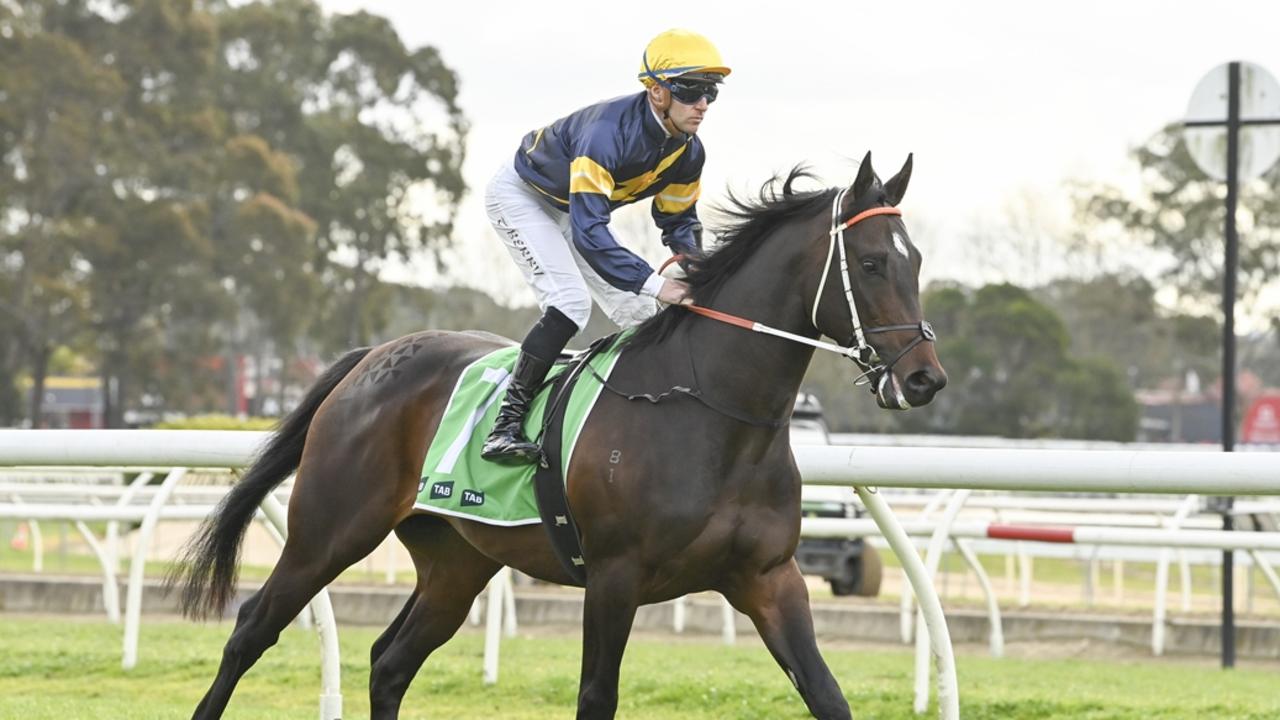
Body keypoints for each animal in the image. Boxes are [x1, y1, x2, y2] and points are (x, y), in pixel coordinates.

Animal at [175, 149, 947, 712]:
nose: (924, 379)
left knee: (390, 662)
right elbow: (596, 697)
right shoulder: (613, 576)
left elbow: (826, 695)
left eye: (916, 262)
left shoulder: (769, 578)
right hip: (329, 530)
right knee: (251, 630)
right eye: (872, 262)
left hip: (457, 560)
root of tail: (373, 356)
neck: (713, 415)